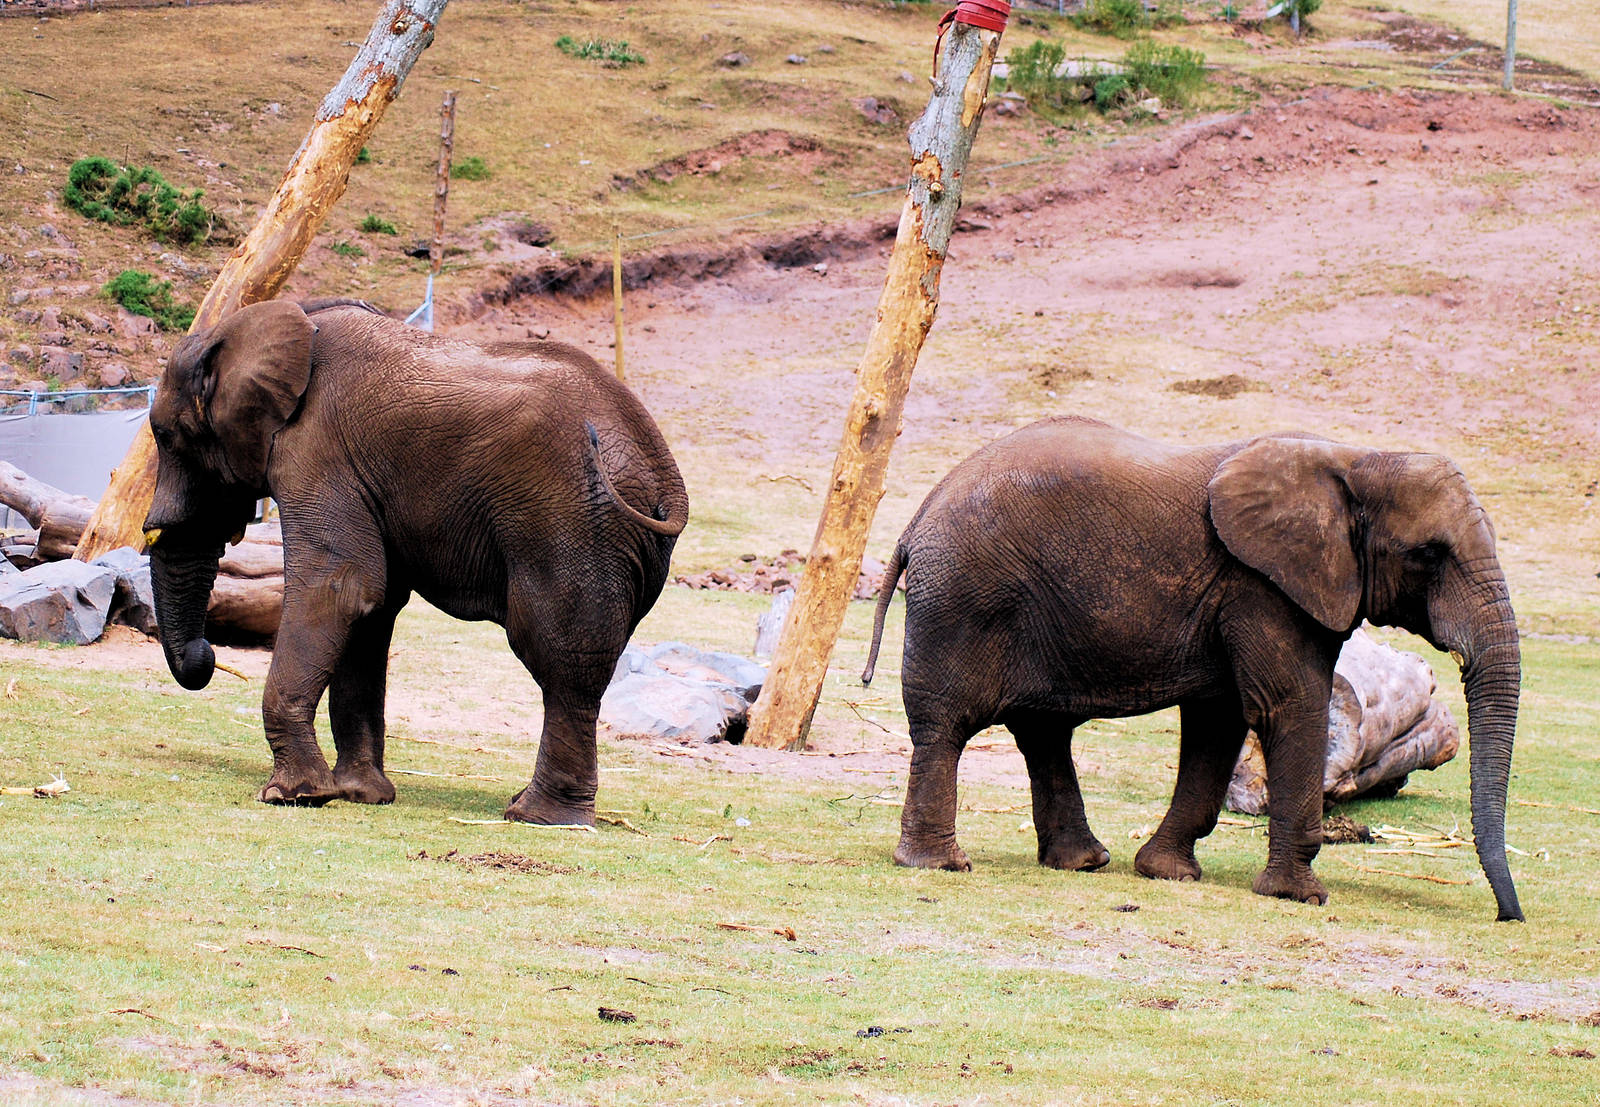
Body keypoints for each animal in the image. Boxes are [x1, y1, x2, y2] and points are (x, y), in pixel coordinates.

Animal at [143, 298, 688, 825]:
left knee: (560, 658)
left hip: (569, 523)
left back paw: (537, 817)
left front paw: (292, 796)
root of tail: (664, 472)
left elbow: (339, 587)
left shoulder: (316, 451)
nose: (206, 655)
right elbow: (371, 607)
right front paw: (361, 795)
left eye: (168, 438)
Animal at [861, 415, 1522, 921]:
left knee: (1042, 732)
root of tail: (915, 522)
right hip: (964, 600)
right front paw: (1299, 897)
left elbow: (1219, 720)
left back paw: (1084, 863)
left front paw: (1166, 873)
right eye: (1428, 555)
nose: (1506, 917)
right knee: (947, 728)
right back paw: (941, 865)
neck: (1355, 459)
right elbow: (1286, 706)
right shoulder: (1262, 586)